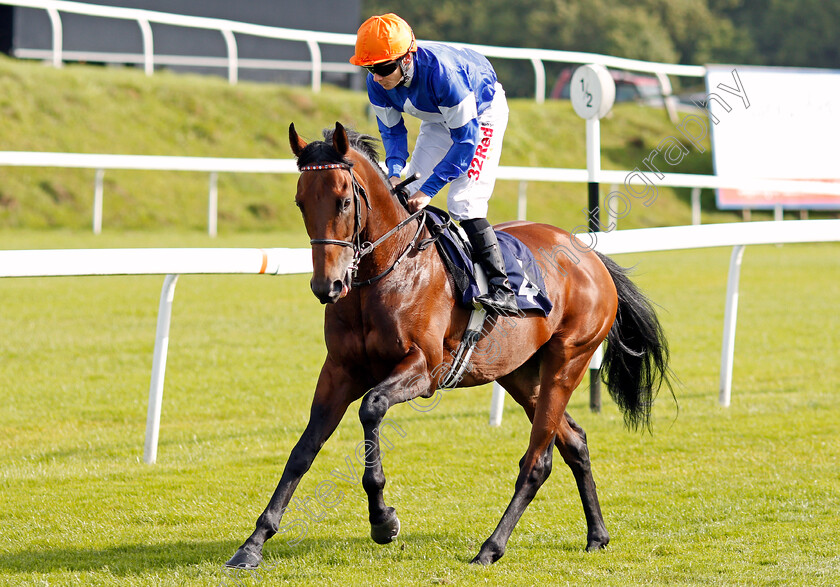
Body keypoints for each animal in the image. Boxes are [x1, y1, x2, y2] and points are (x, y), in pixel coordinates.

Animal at [226, 123, 672, 568]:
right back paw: (597, 534)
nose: (327, 286)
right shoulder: (339, 370)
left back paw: (491, 547)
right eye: (301, 202)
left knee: (537, 460)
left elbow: (371, 408)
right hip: (521, 375)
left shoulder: (424, 370)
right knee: (574, 442)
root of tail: (591, 256)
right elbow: (304, 449)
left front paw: (383, 520)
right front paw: (254, 542)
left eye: (344, 200)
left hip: (568, 361)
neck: (386, 272)